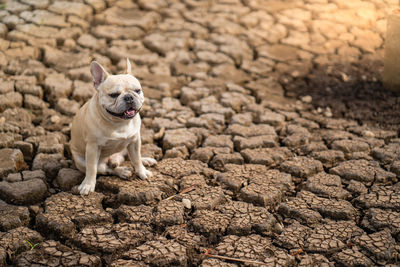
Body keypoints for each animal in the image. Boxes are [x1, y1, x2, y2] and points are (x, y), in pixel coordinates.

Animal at [70, 59, 155, 196]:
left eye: (138, 90)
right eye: (114, 95)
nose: (129, 97)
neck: (119, 123)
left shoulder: (135, 141)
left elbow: (136, 158)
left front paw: (142, 171)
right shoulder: (93, 148)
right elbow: (92, 169)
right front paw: (88, 185)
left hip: (126, 147)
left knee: (131, 157)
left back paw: (145, 160)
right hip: (82, 161)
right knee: (105, 169)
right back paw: (123, 171)